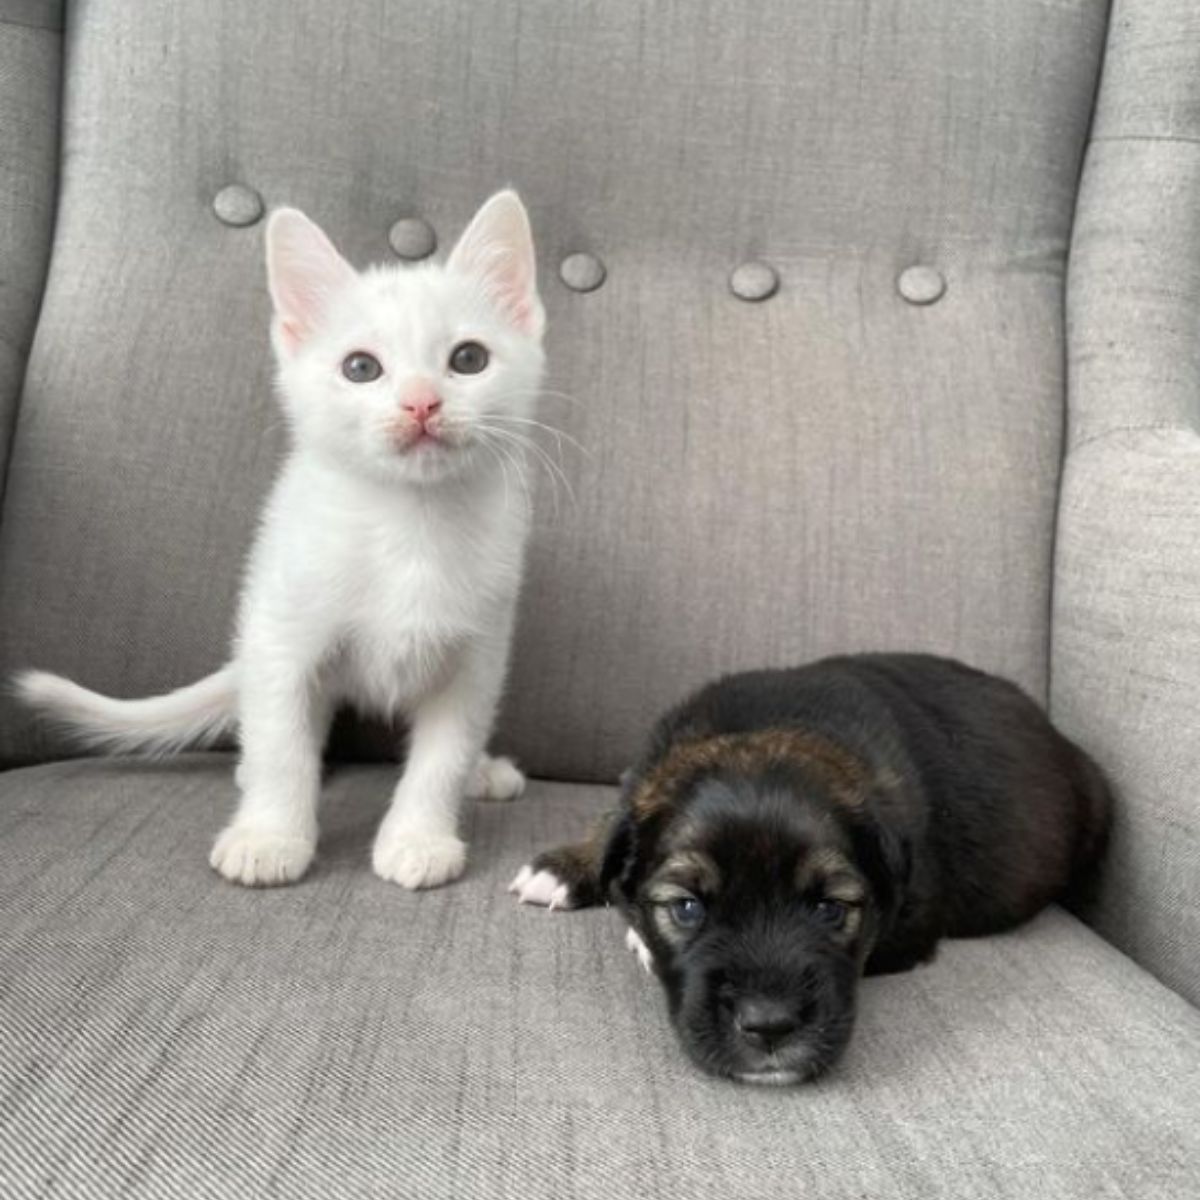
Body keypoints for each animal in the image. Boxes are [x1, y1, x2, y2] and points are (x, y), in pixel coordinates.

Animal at [15, 189, 549, 892]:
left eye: (468, 359)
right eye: (361, 367)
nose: (421, 403)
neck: (409, 524)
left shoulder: (477, 653)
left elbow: (443, 754)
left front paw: (420, 837)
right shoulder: (283, 635)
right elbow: (281, 745)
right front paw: (269, 837)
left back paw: (484, 773)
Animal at [511, 657, 1108, 1089]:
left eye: (830, 909)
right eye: (687, 908)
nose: (769, 1026)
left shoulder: (908, 923)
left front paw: (636, 935)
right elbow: (616, 814)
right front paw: (569, 866)